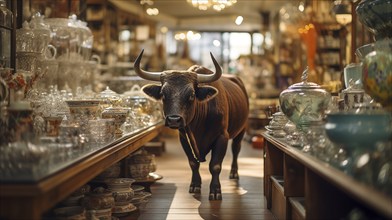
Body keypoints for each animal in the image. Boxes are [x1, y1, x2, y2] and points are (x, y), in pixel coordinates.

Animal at [133, 50, 247, 201]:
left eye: (192, 95)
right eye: (163, 94)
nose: (174, 120)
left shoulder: (222, 137)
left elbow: (215, 165)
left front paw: (215, 191)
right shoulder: (184, 138)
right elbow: (193, 163)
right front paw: (195, 185)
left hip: (242, 130)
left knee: (236, 149)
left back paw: (234, 173)